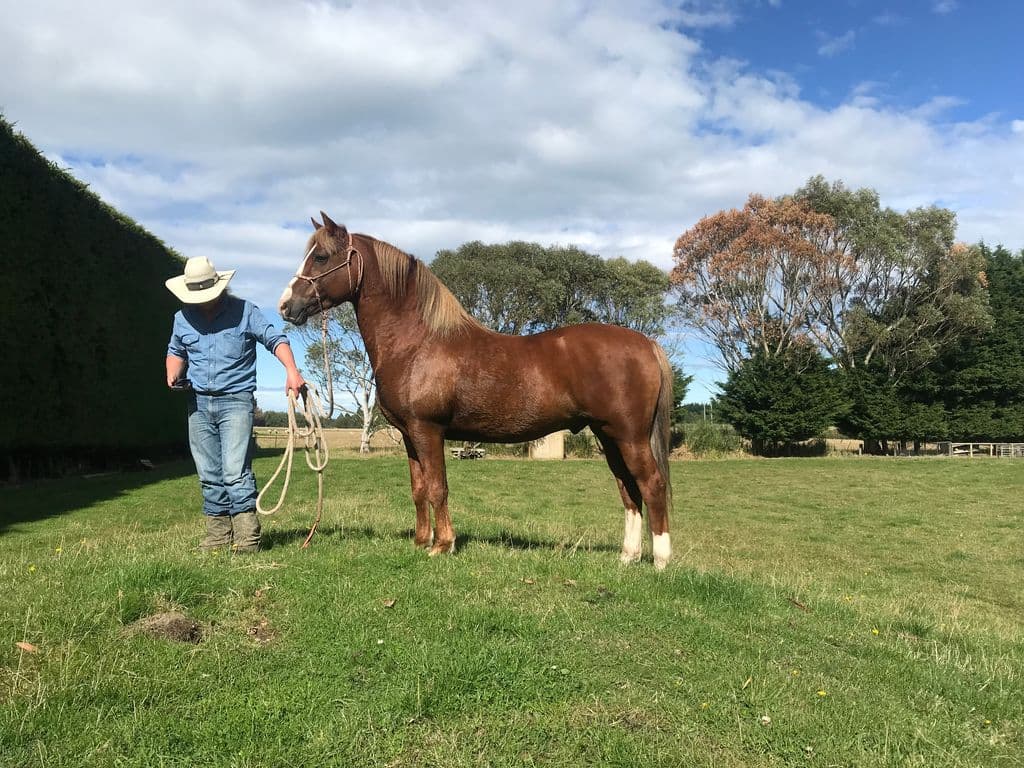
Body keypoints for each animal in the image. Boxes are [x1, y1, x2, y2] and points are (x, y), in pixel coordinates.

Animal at [278, 213, 674, 568]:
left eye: (321, 257)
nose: (285, 305)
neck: (417, 342)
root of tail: (646, 343)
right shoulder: (409, 435)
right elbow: (418, 488)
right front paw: (421, 542)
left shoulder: (428, 430)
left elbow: (437, 487)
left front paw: (443, 546)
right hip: (607, 435)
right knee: (628, 488)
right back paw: (628, 556)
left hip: (629, 436)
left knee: (651, 484)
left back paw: (660, 561)